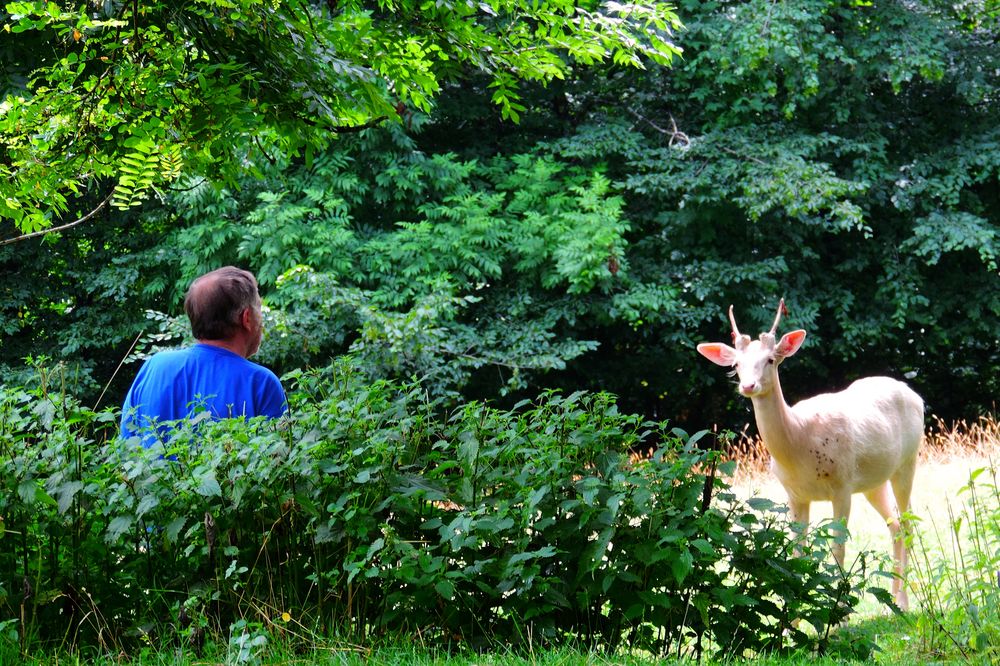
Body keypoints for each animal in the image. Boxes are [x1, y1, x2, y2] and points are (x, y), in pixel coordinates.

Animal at [696, 298, 920, 608]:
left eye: (771, 359)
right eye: (736, 364)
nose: (748, 385)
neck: (799, 444)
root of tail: (915, 395)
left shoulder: (842, 484)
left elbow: (838, 548)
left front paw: (840, 614)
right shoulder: (794, 494)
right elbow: (796, 555)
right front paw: (794, 615)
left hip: (908, 460)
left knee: (909, 523)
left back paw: (903, 602)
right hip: (873, 481)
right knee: (895, 524)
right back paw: (893, 603)